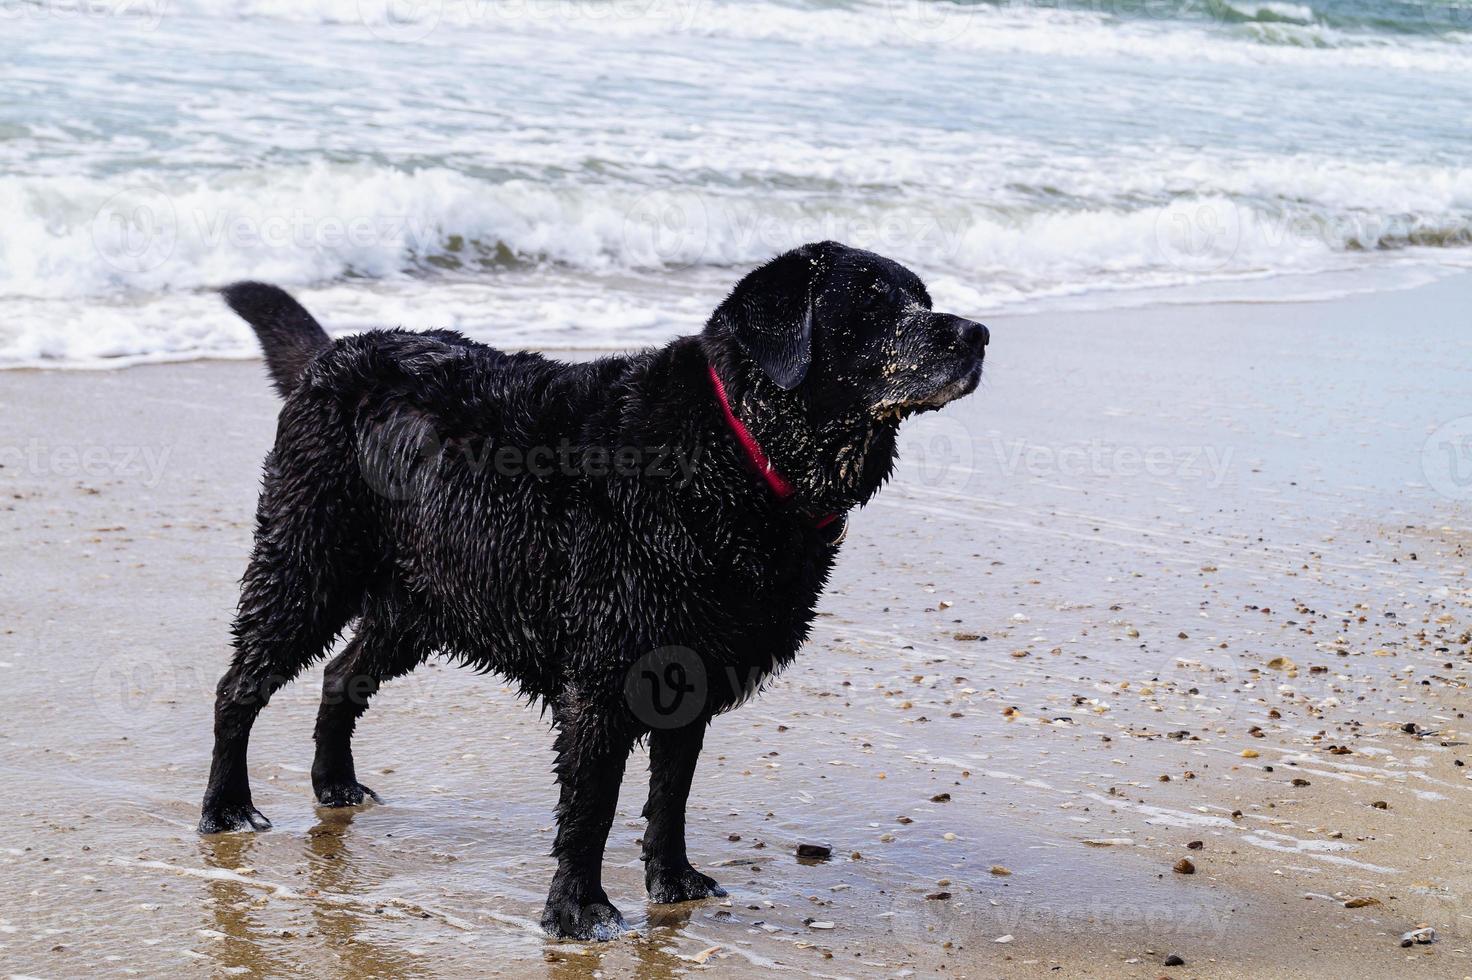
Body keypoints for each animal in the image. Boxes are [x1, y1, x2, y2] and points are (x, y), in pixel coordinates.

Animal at [198, 239, 989, 935]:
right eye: (870, 304)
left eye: (922, 299)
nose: (976, 333)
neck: (737, 455)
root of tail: (331, 358)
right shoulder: (605, 677)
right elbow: (591, 809)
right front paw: (579, 912)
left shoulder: (691, 670)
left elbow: (670, 799)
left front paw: (675, 884)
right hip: (305, 567)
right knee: (239, 689)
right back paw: (227, 807)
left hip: (419, 602)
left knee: (341, 676)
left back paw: (333, 784)